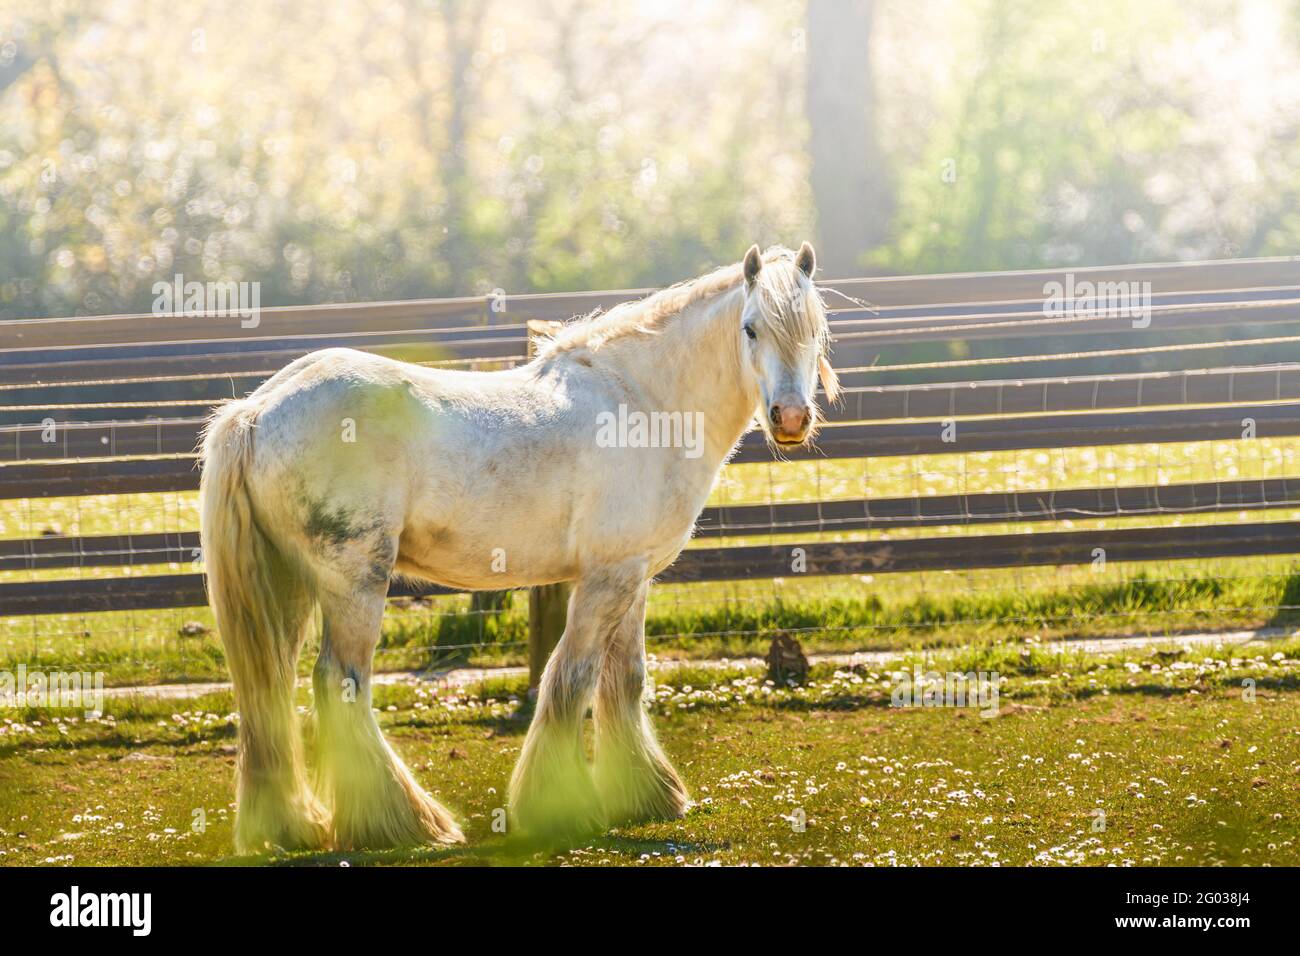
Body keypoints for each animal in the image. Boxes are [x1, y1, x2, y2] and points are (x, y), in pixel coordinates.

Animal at [199, 242, 838, 852]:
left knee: (269, 690)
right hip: (354, 583)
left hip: (288, 584)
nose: (790, 418)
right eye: (751, 327)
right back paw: (405, 823)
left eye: (815, 327)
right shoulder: (607, 578)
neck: (643, 401)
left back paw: (293, 825)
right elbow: (571, 676)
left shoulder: (633, 576)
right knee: (339, 683)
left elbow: (625, 679)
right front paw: (558, 806)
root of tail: (256, 410)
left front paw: (647, 796)